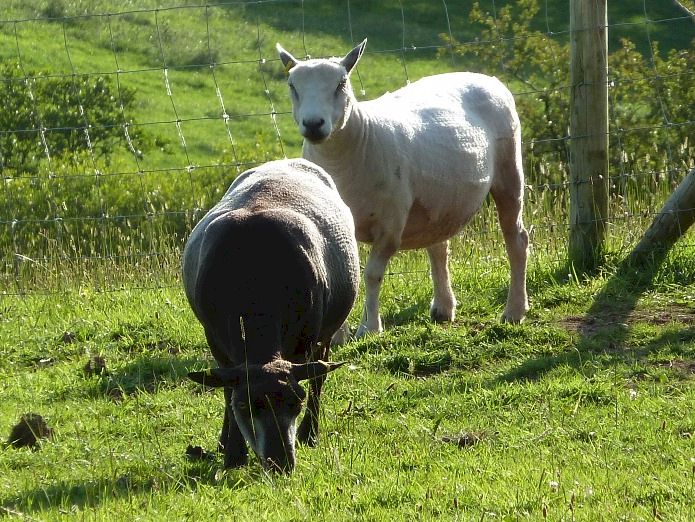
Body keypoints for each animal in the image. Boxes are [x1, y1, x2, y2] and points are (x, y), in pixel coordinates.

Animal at [182, 158, 360, 473]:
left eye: (296, 402)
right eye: (245, 406)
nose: (280, 462)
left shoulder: (304, 341)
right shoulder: (216, 340)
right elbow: (227, 388)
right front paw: (233, 453)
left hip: (325, 333)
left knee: (319, 377)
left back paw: (309, 434)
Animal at [276, 39, 529, 337]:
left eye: (341, 83)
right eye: (292, 86)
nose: (314, 124)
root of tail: (486, 78)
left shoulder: (390, 224)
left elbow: (372, 275)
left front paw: (370, 328)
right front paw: (337, 335)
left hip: (509, 172)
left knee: (516, 239)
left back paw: (514, 311)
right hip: (438, 199)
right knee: (439, 247)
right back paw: (443, 308)